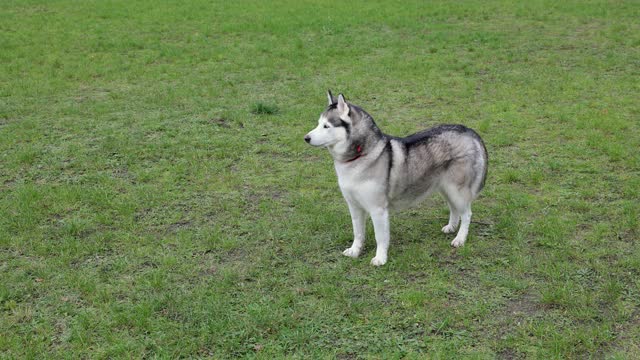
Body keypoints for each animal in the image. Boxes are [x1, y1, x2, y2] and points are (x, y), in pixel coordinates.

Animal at [302, 92, 488, 268]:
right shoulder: (354, 206)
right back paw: (451, 227)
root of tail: (468, 130)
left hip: (456, 189)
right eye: (318, 123)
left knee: (467, 214)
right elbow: (358, 233)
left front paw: (380, 258)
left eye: (326, 126)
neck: (359, 156)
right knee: (454, 208)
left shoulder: (378, 210)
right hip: (446, 188)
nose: (306, 138)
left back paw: (460, 238)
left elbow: (380, 237)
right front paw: (355, 251)